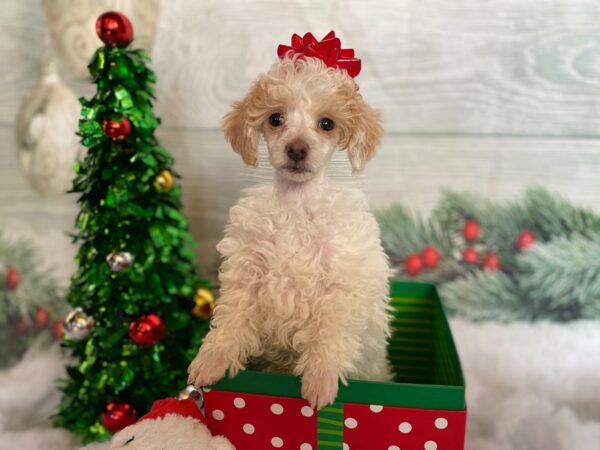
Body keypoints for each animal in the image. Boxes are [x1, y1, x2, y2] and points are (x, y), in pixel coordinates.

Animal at [189, 37, 394, 412]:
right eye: (276, 118)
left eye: (326, 124)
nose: (297, 149)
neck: (297, 204)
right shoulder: (246, 273)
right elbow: (232, 318)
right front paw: (211, 360)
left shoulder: (341, 286)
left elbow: (330, 333)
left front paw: (320, 381)